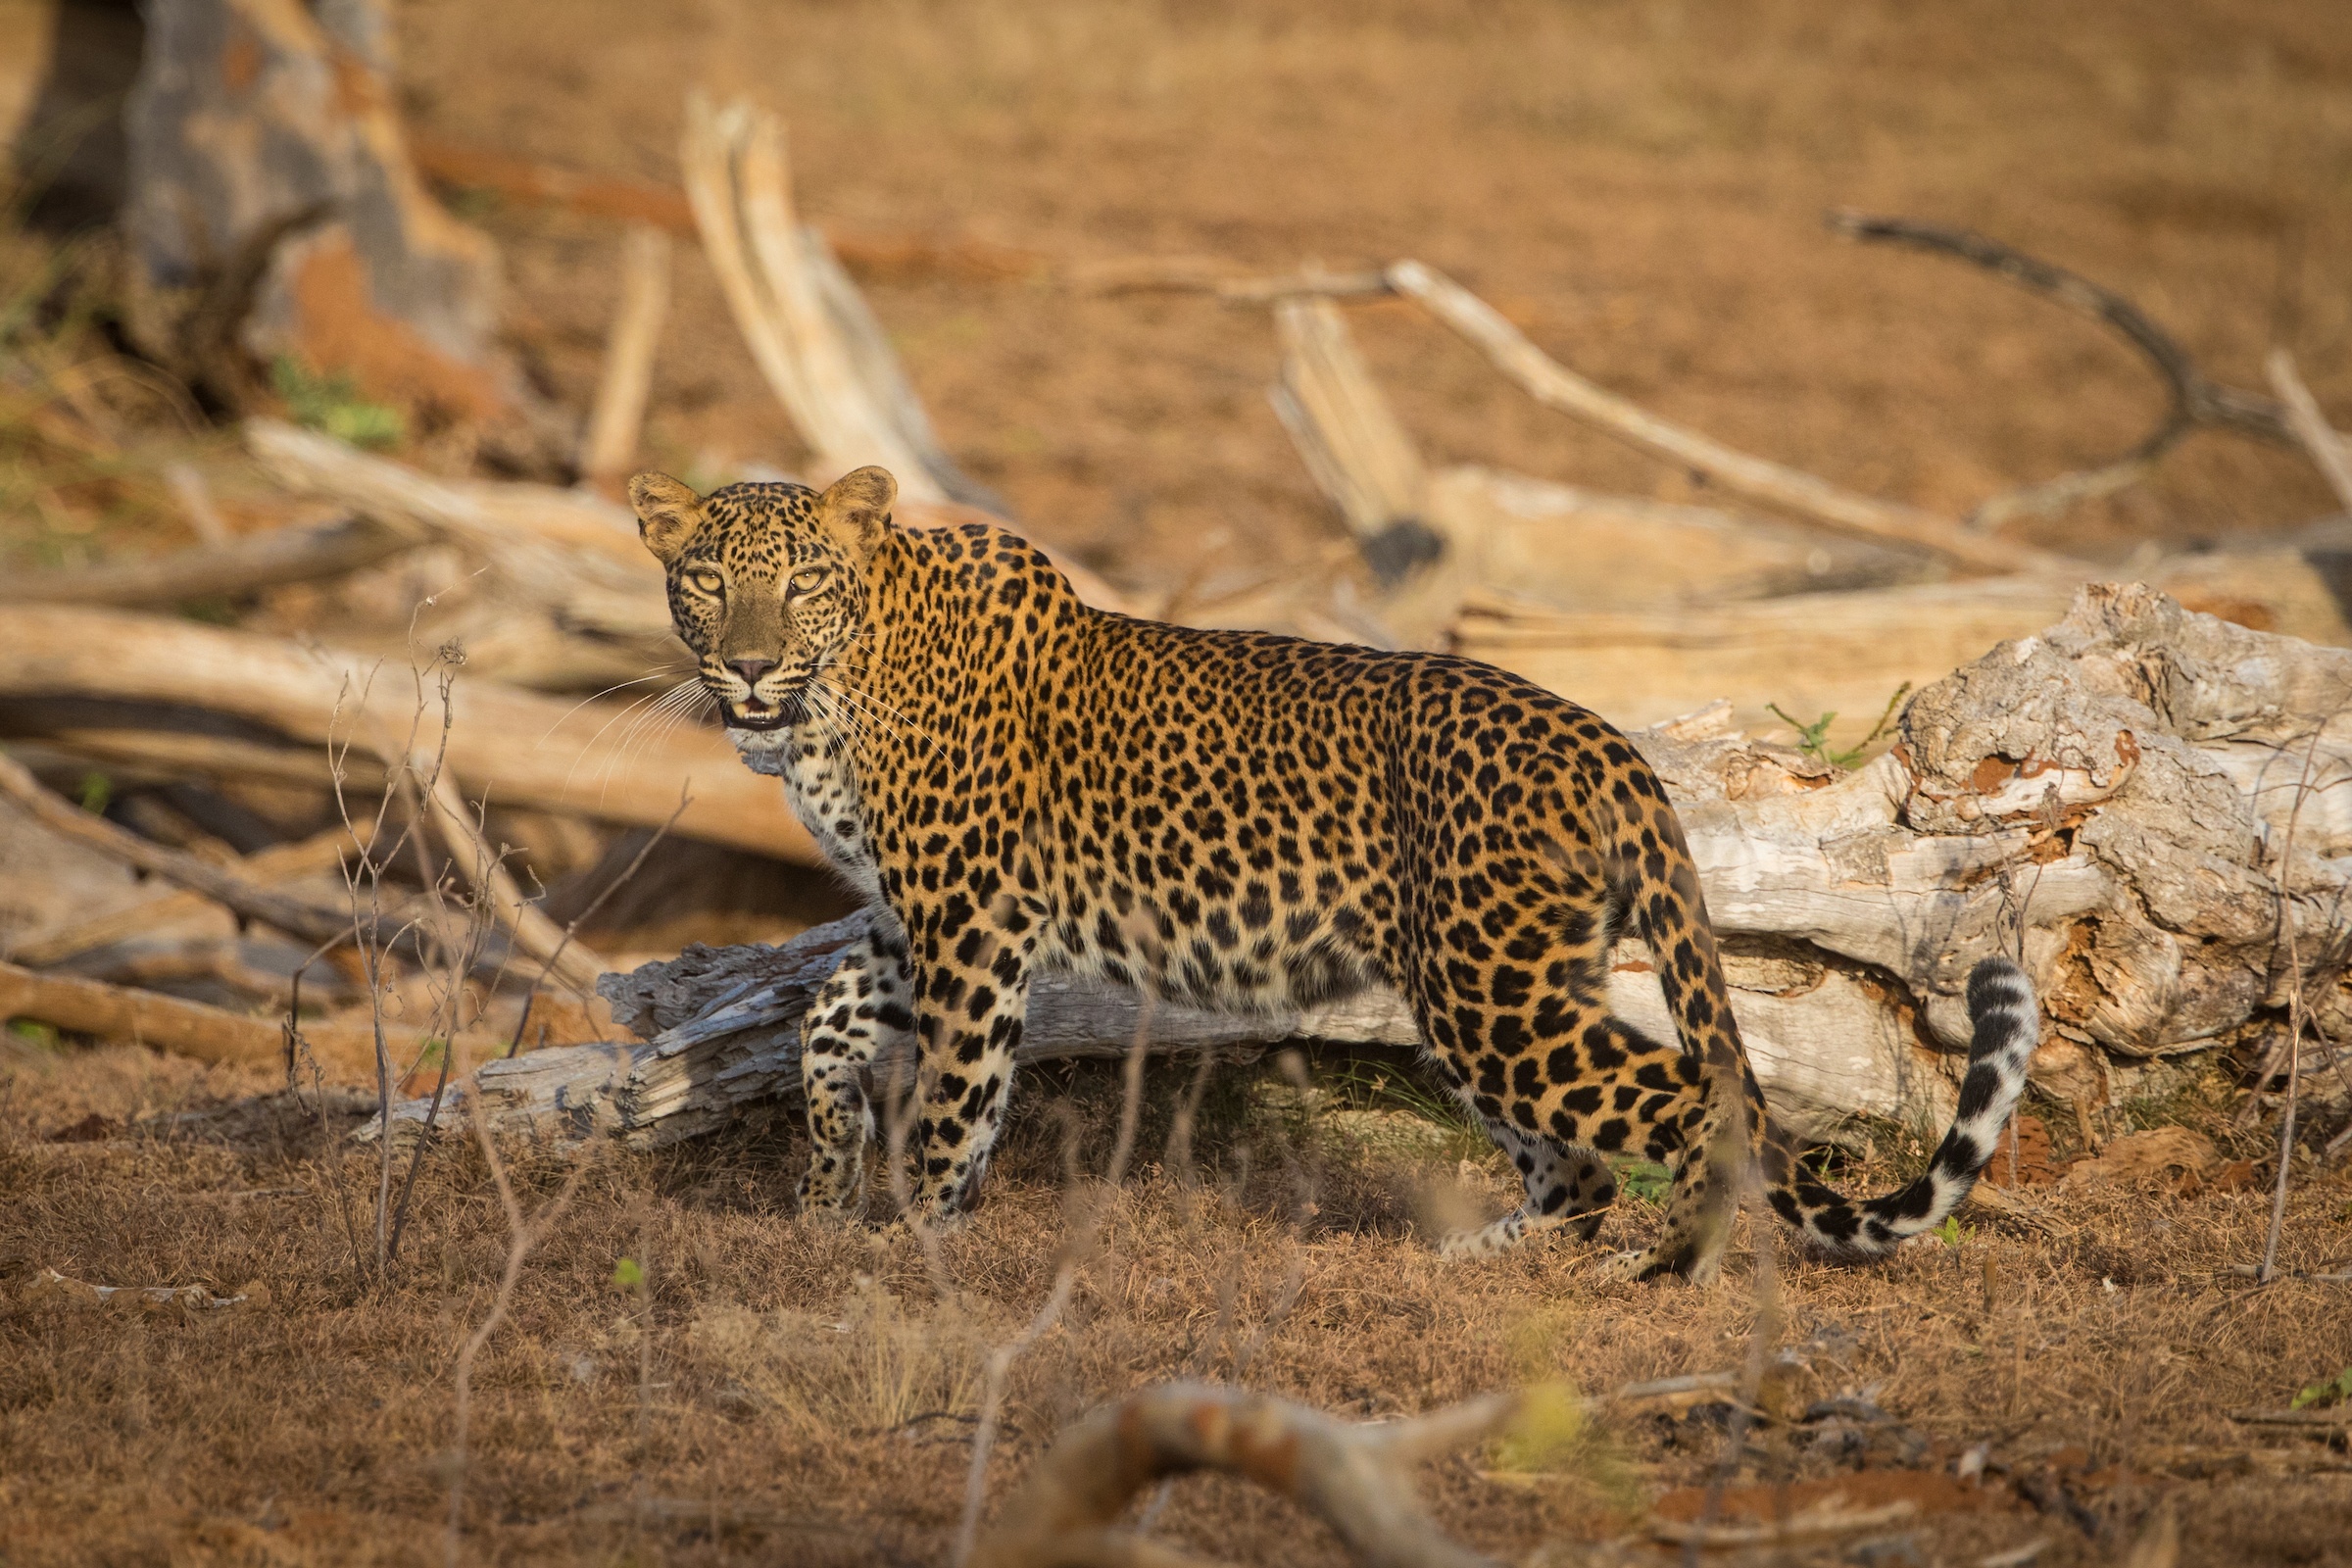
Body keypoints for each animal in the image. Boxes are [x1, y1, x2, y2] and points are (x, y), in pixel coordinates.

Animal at [627, 464, 2040, 1282]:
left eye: (801, 584)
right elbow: (823, 1020)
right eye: (704, 580)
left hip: (1490, 994)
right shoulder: (913, 915)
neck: (834, 695)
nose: (746, 667)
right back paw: (1475, 1258)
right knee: (1582, 1161)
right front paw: (824, 1183)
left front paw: (916, 1241)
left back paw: (1666, 1272)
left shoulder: (970, 921)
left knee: (1700, 1098)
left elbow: (958, 1093)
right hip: (1500, 988)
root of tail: (1606, 744)